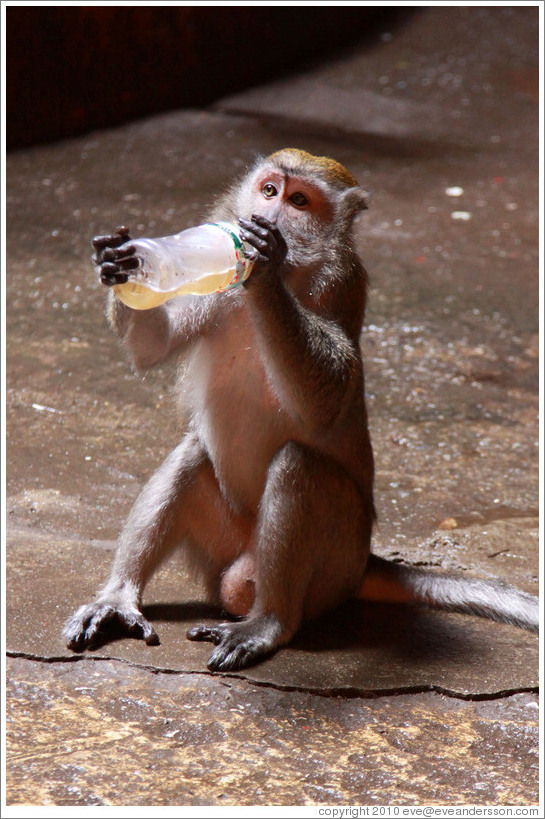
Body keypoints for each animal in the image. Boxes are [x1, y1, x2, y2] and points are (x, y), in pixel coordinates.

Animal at [62, 149, 536, 672]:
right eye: (269, 190)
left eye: (300, 201)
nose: (267, 216)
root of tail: (363, 564)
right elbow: (153, 349)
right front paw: (119, 259)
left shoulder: (342, 285)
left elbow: (329, 392)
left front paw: (263, 269)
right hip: (225, 542)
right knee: (193, 454)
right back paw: (118, 599)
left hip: (334, 564)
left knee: (298, 469)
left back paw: (268, 623)